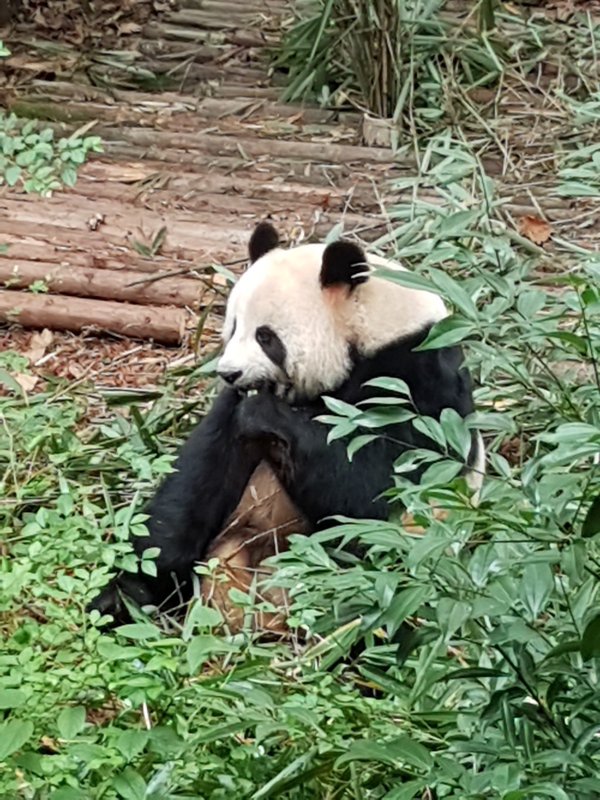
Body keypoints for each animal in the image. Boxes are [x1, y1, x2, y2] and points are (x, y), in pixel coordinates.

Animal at [90, 221, 484, 624]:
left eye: (266, 336)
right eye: (233, 327)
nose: (229, 373)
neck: (371, 327)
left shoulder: (417, 379)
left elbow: (378, 491)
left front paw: (264, 414)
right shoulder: (229, 414)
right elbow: (195, 484)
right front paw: (128, 592)